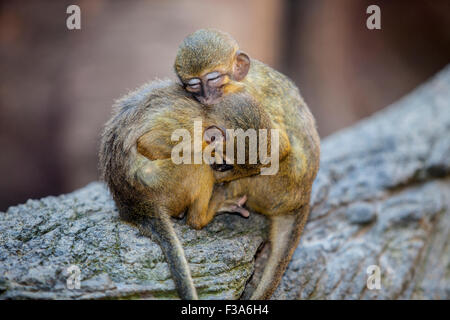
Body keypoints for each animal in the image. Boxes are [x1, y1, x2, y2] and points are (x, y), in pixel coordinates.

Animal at [173, 28, 320, 298]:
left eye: (213, 79)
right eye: (194, 85)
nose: (206, 96)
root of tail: (303, 196)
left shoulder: (238, 99)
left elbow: (278, 146)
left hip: (274, 186)